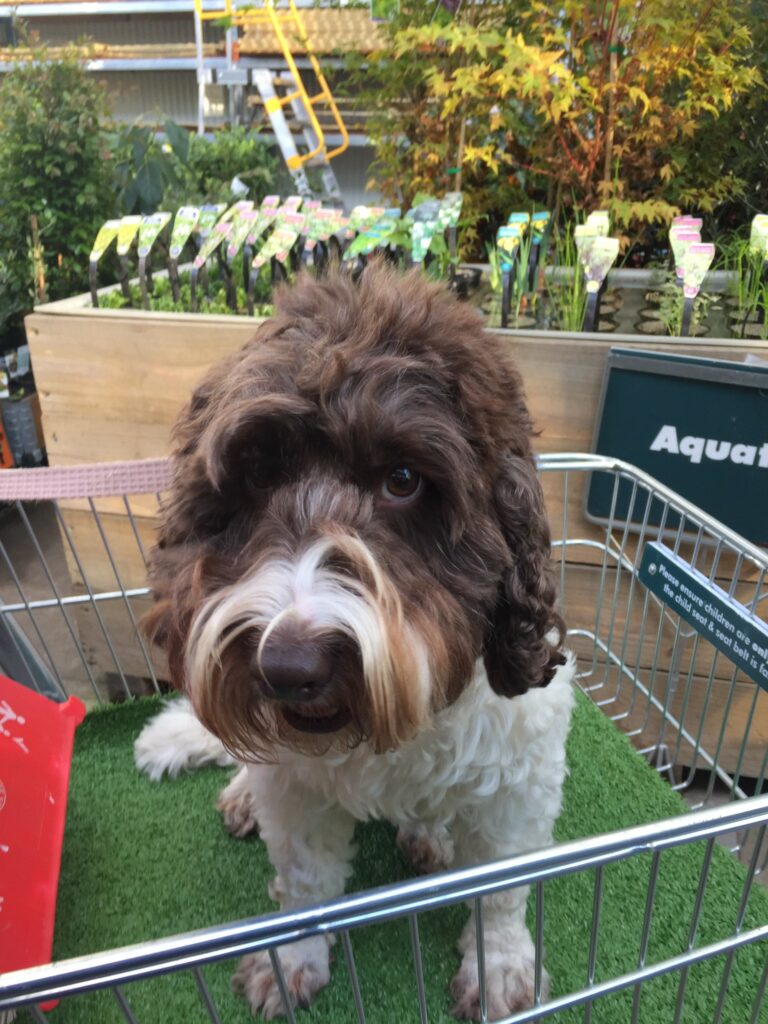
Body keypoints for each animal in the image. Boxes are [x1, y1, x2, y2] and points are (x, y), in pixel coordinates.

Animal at [135, 266, 573, 1024]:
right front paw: (293, 962)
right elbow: (307, 881)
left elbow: (501, 886)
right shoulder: (296, 788)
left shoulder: (521, 773)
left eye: (402, 480)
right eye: (258, 478)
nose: (287, 668)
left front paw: (497, 965)